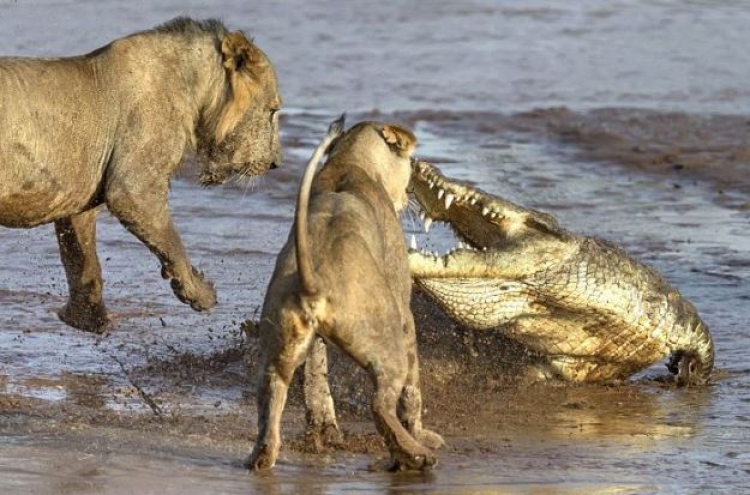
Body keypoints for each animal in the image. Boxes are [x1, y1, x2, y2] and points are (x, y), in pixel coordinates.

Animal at [0, 18, 282, 334]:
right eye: (273, 110)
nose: (276, 163)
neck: (192, 89)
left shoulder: (77, 197)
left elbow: (82, 260)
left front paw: (86, 319)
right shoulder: (133, 187)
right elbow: (171, 240)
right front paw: (199, 293)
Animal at [247, 115, 446, 472]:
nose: (412, 192)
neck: (349, 161)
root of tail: (313, 284)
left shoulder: (313, 343)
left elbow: (317, 378)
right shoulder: (405, 309)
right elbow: (413, 390)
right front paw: (422, 433)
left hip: (276, 351)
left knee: (270, 404)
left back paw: (262, 458)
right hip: (387, 342)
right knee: (380, 404)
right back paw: (415, 454)